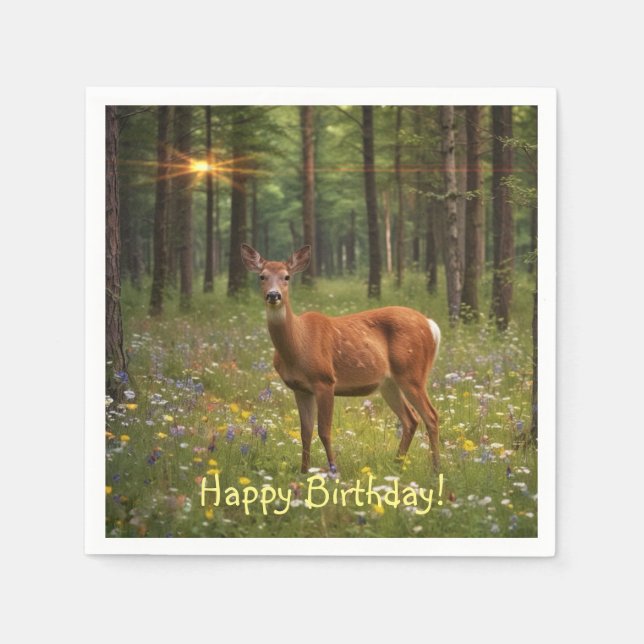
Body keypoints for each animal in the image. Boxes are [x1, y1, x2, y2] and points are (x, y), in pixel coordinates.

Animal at [241, 243, 441, 476]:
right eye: (262, 276)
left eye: (287, 277)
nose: (274, 295)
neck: (298, 344)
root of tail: (430, 325)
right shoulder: (300, 388)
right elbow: (305, 432)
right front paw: (303, 471)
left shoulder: (325, 380)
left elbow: (324, 431)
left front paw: (334, 470)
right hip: (389, 383)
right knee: (411, 419)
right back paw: (397, 465)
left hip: (412, 373)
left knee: (431, 415)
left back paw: (436, 468)